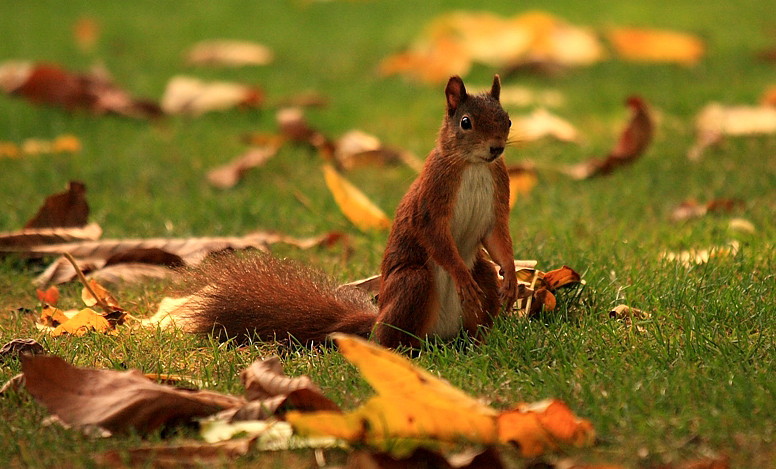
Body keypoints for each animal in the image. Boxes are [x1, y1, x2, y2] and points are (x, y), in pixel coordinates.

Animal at [175, 75, 516, 348]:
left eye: (508, 120)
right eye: (466, 122)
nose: (496, 148)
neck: (474, 166)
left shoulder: (498, 196)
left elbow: (498, 237)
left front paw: (511, 277)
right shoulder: (431, 198)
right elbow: (434, 235)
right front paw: (461, 276)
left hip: (483, 279)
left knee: (481, 292)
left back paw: (477, 343)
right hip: (412, 283)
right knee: (392, 337)